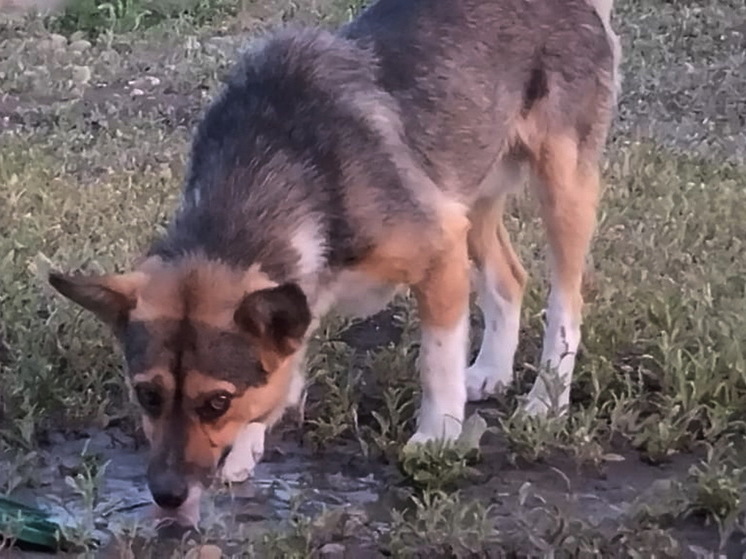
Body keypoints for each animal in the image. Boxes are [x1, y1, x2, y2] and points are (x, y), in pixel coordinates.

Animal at [46, 0, 620, 528]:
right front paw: (251, 440)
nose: (166, 497)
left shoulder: (439, 252)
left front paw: (436, 435)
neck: (274, 164)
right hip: (470, 190)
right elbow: (287, 360)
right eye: (147, 396)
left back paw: (546, 403)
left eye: (216, 402)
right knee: (508, 279)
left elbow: (436, 361)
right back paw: (492, 371)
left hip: (560, 181)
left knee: (565, 300)